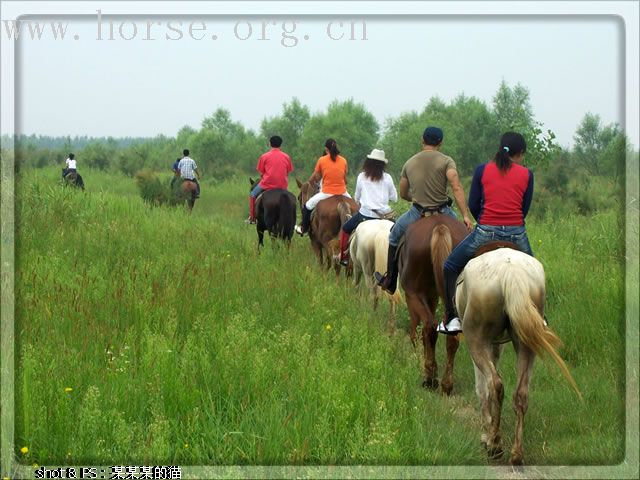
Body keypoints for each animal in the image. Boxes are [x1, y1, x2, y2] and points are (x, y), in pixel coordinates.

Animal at [398, 214, 468, 394]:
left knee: (430, 325)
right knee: (452, 334)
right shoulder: (432, 295)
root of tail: (440, 227)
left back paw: (429, 377)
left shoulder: (414, 296)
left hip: (413, 293)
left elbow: (416, 330)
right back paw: (446, 384)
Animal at [458, 246, 584, 464]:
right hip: (525, 344)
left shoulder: (483, 344)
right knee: (521, 393)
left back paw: (495, 445)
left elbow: (481, 388)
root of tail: (512, 271)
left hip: (476, 339)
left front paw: (486, 434)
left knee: (494, 384)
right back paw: (516, 454)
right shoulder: (496, 345)